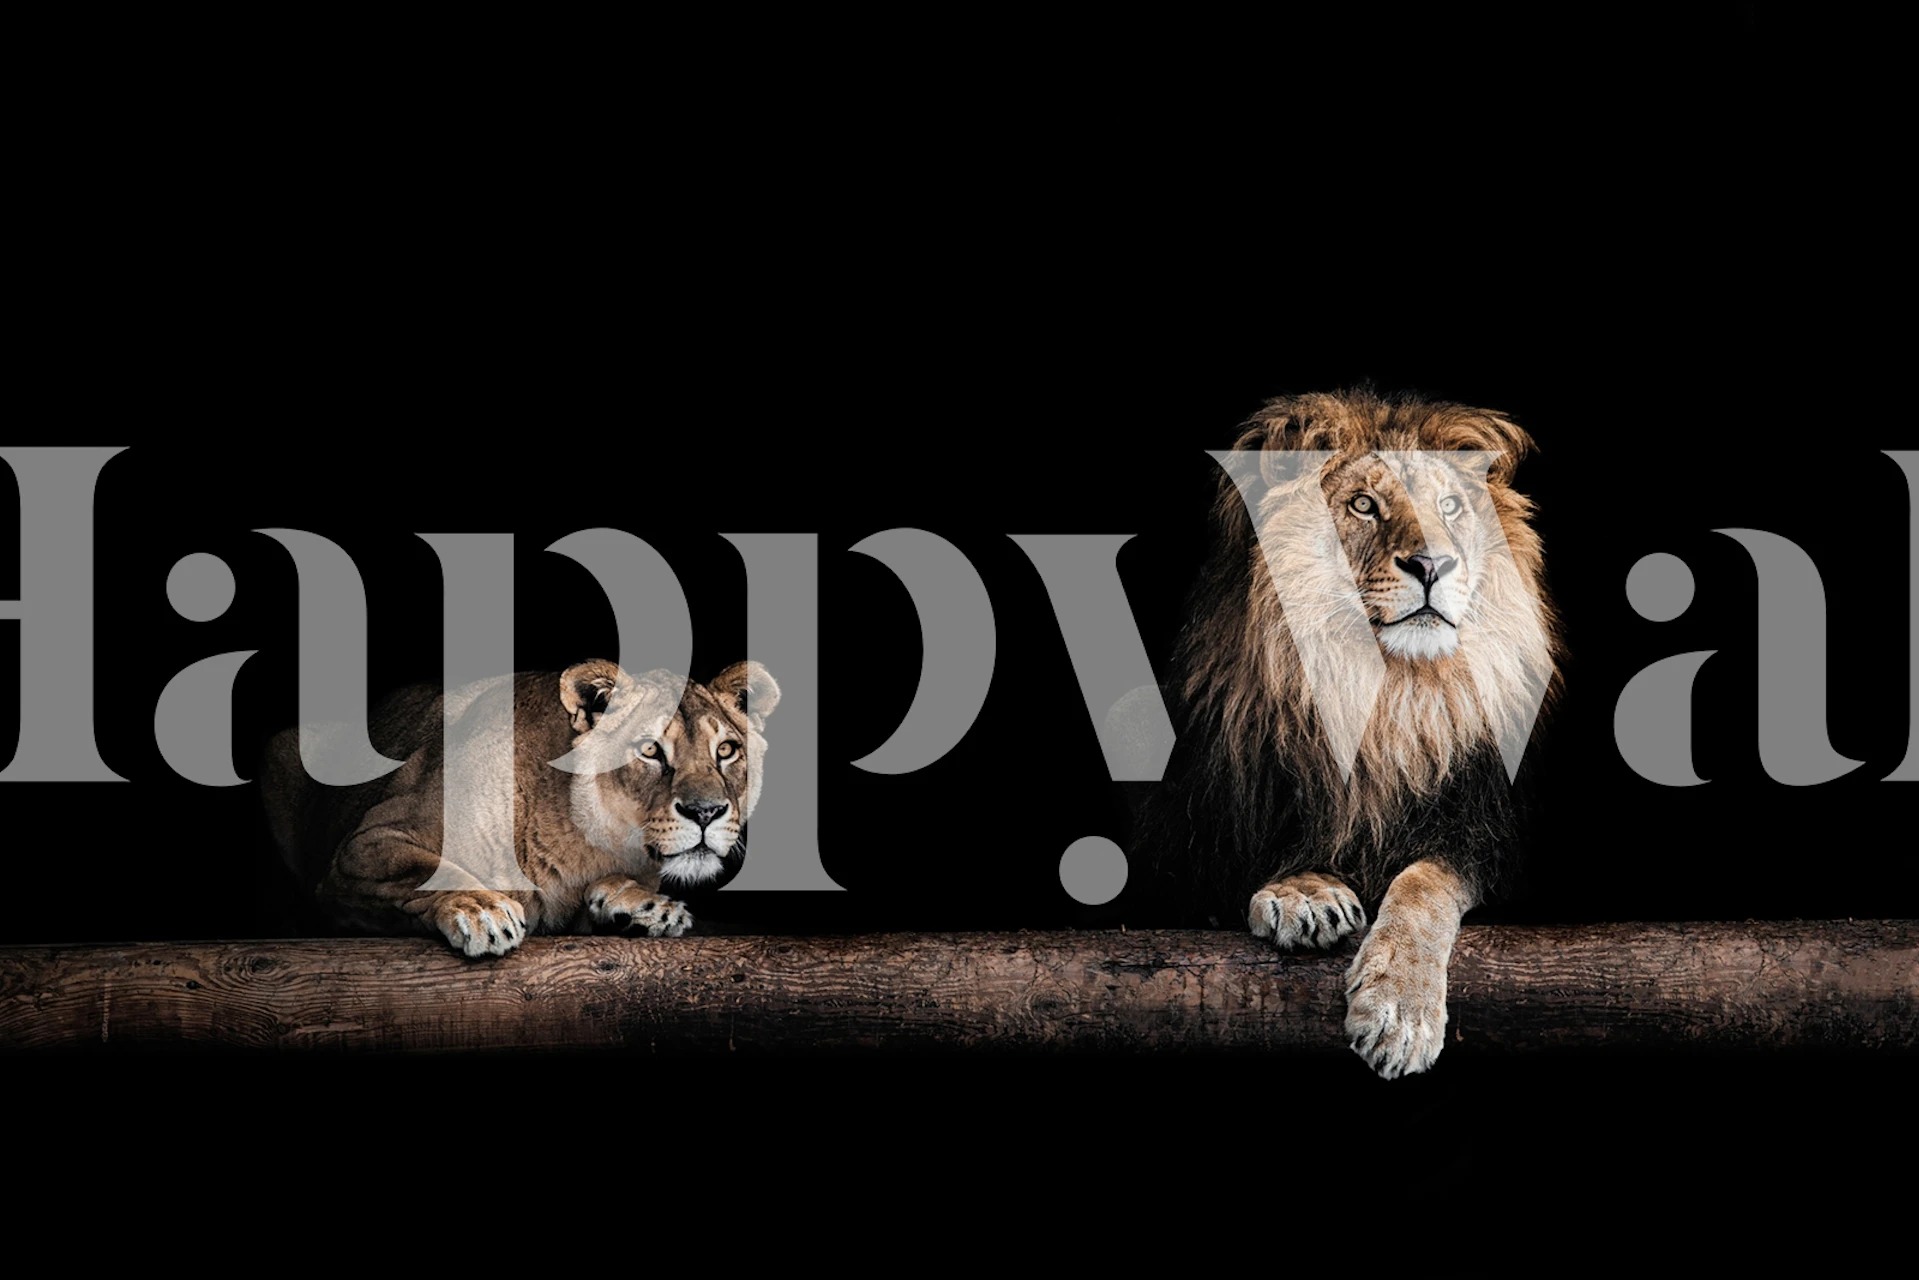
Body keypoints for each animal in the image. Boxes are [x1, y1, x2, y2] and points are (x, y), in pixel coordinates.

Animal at [263, 660, 779, 957]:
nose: (706, 812)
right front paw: (482, 910)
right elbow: (427, 869)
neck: (581, 836)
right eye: (650, 749)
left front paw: (644, 908)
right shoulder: (365, 847)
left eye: (727, 750)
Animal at [1140, 389, 1562, 1078]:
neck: (1387, 696)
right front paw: (1306, 893)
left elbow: (1425, 883)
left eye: (1450, 506)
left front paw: (1399, 1012)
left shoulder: (1484, 833)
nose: (1432, 564)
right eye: (1364, 504)